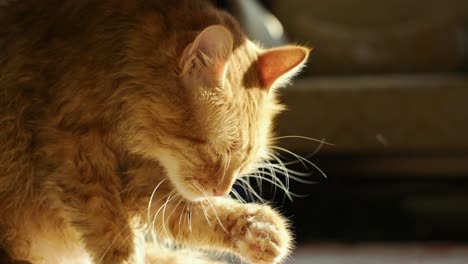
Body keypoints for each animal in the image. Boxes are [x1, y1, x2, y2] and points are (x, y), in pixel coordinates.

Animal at [0, 0, 310, 264]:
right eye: (213, 151)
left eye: (243, 163)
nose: (222, 190)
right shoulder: (76, 156)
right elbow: (112, 232)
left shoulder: (145, 182)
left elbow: (195, 214)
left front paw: (260, 230)